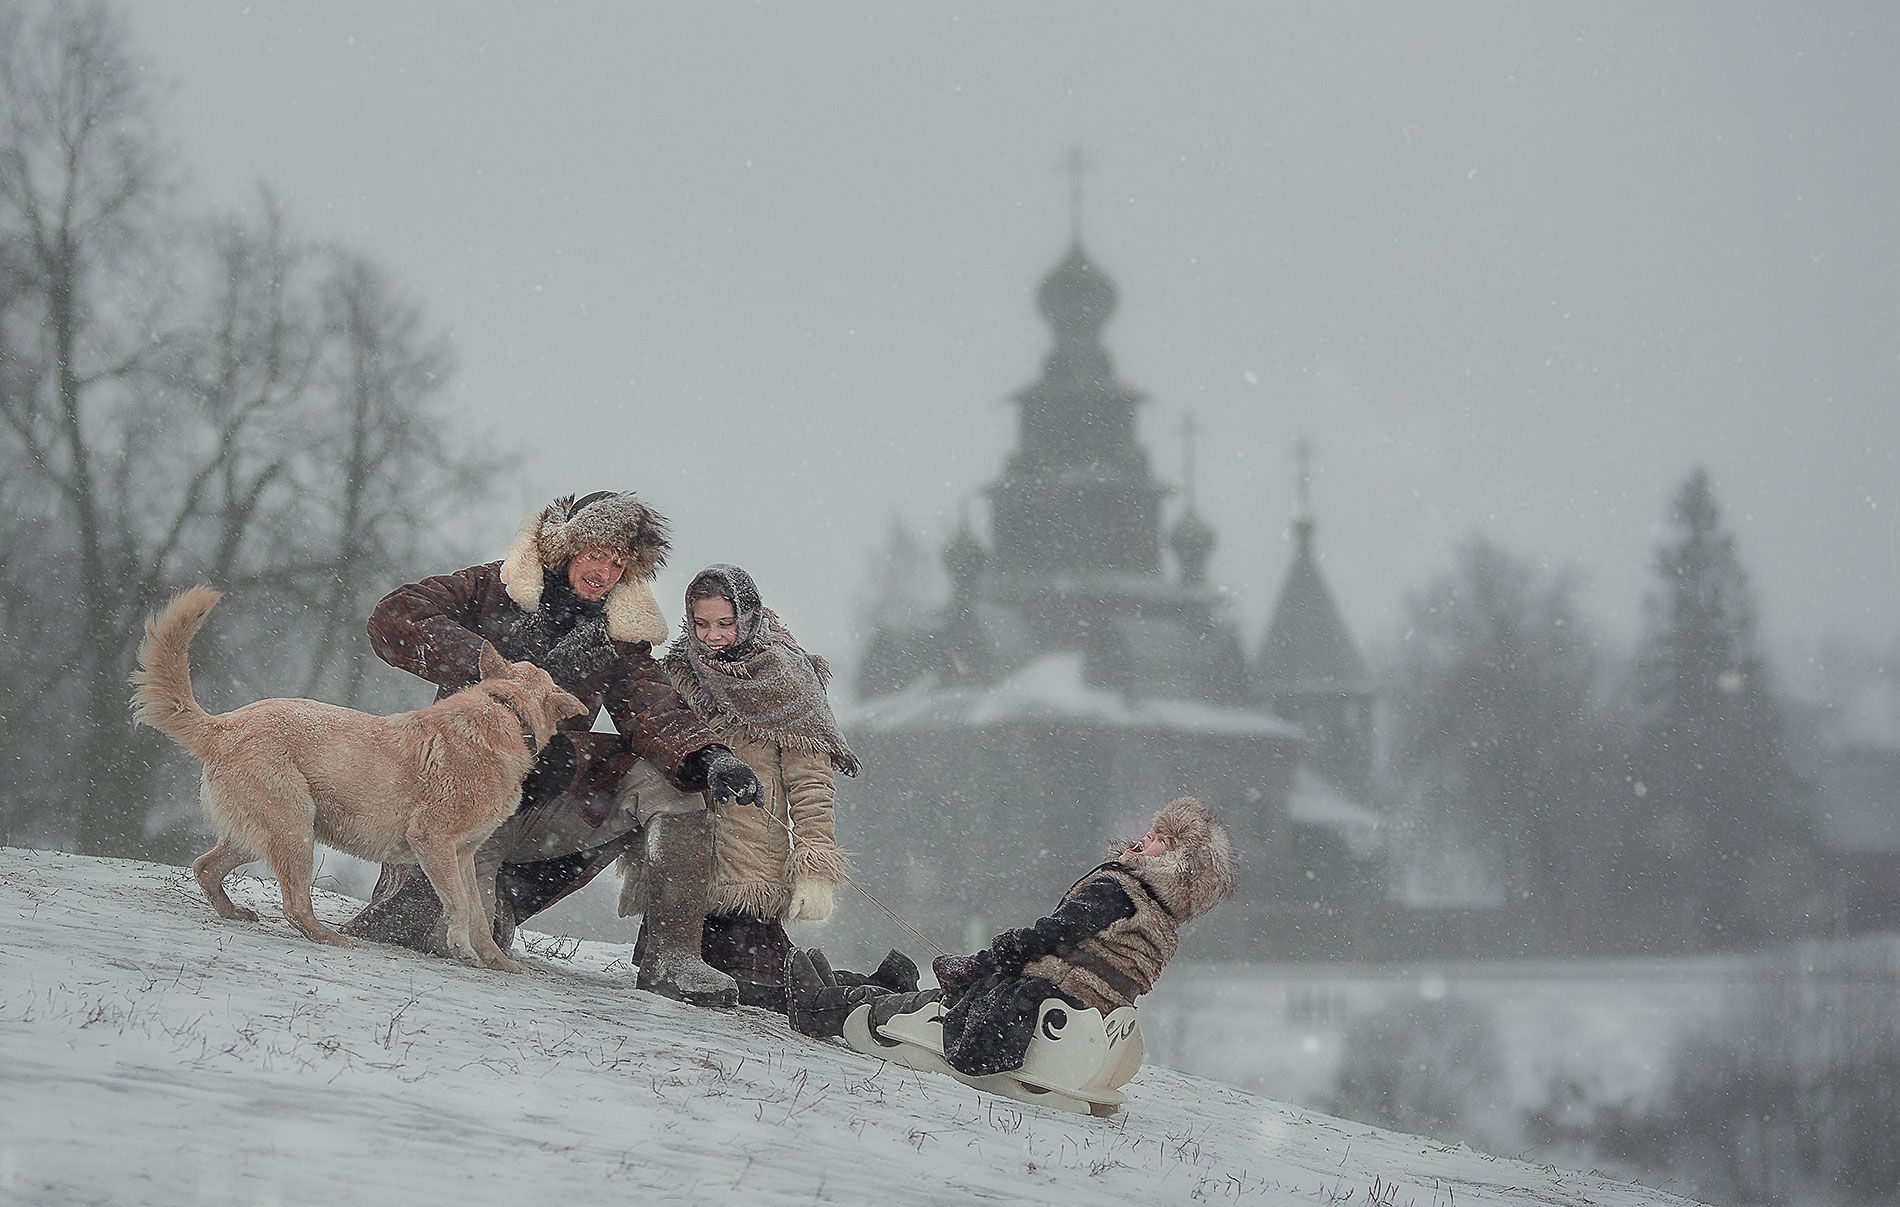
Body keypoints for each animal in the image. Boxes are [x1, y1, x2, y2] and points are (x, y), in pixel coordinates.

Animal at [131, 585, 585, 973]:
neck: (507, 710)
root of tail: (224, 725)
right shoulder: (434, 841)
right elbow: (457, 904)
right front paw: (461, 947)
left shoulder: (464, 854)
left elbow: (476, 912)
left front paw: (496, 960)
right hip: (295, 828)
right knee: (295, 905)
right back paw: (331, 938)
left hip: (262, 832)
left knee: (206, 867)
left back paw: (234, 913)